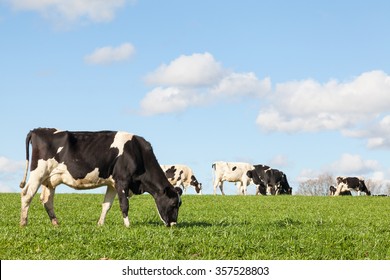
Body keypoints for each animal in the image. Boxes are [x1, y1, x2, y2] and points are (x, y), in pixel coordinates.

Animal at [18, 129, 183, 228]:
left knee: (47, 200)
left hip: (50, 179)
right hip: (38, 172)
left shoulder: (112, 184)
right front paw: (128, 225)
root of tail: (38, 130)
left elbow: (106, 205)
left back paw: (55, 223)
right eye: (174, 203)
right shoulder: (122, 181)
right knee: (27, 194)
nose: (174, 224)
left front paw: (100, 224)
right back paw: (23, 223)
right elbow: (124, 205)